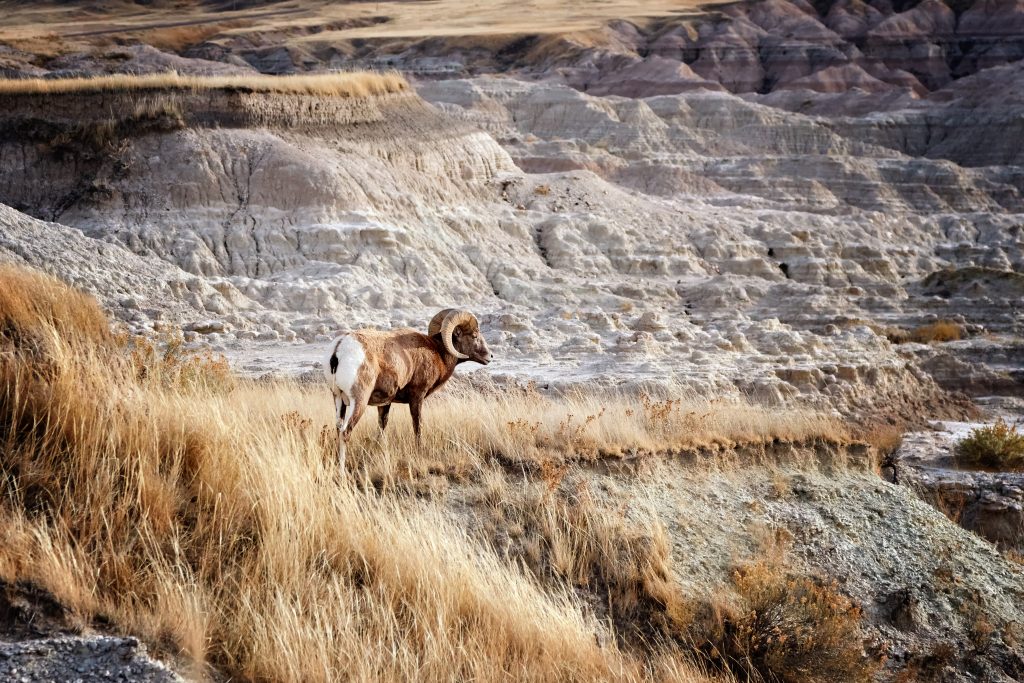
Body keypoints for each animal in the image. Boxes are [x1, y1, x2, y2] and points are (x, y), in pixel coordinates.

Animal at [323, 309, 491, 471]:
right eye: (474, 336)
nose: (490, 356)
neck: (436, 352)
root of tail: (339, 348)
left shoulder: (385, 403)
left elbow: (382, 426)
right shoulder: (417, 396)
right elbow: (417, 424)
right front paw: (420, 450)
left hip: (338, 399)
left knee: (338, 428)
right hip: (359, 401)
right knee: (346, 432)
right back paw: (342, 470)